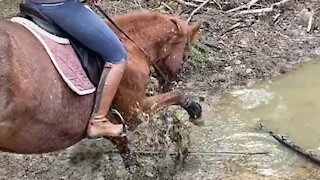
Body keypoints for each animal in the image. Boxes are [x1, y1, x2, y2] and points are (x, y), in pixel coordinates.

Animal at [0, 11, 201, 167]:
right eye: (185, 56)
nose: (169, 83)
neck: (131, 47)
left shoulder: (114, 121)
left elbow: (124, 147)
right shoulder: (135, 111)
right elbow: (177, 95)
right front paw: (195, 111)